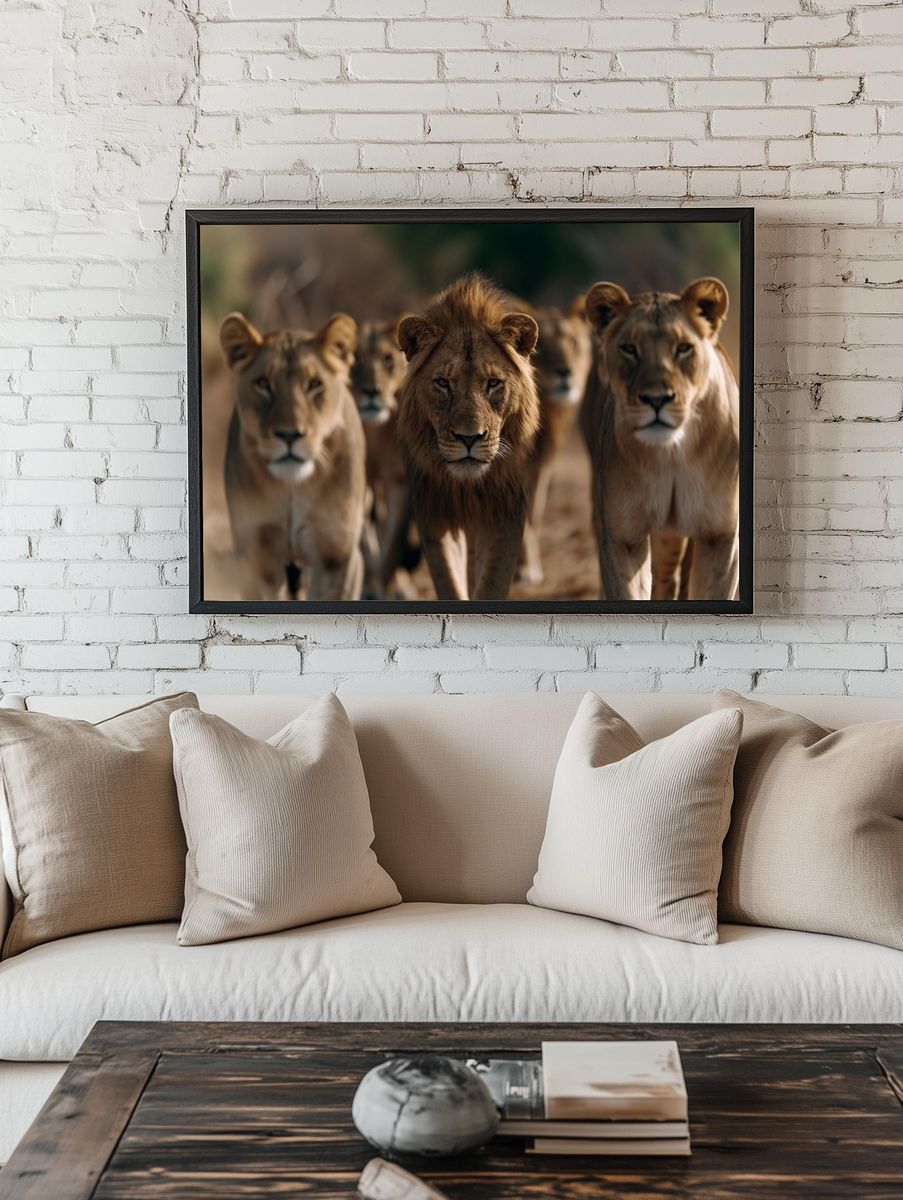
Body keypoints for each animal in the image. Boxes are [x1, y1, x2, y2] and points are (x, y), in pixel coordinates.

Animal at [219, 311, 366, 602]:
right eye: (263, 384)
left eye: (315, 385)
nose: (289, 434)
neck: (292, 487)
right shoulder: (256, 553)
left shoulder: (337, 556)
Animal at [396, 274, 541, 602]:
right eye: (442, 383)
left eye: (493, 383)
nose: (469, 438)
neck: (467, 488)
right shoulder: (433, 513)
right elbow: (448, 582)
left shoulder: (505, 513)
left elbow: (493, 584)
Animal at [517, 298, 593, 583]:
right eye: (543, 348)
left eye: (572, 342)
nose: (565, 372)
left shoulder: (539, 467)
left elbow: (532, 517)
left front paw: (526, 568)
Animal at [582, 277, 739, 602]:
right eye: (629, 349)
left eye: (684, 348)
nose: (656, 399)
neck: (671, 455)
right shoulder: (623, 538)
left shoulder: (720, 535)